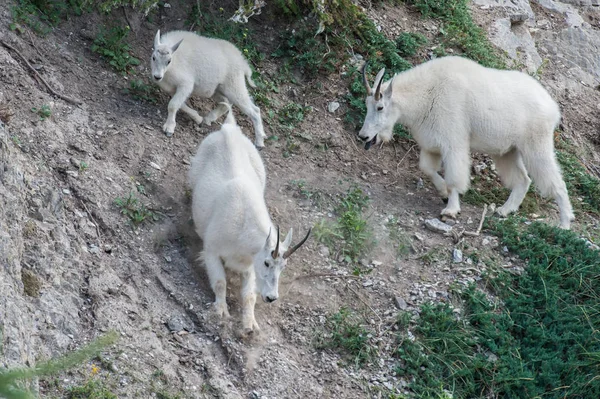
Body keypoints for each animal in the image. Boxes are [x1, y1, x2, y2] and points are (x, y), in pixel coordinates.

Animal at [190, 102, 312, 334]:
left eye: (283, 267)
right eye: (266, 262)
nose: (272, 297)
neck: (242, 233)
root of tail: (229, 129)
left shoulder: (248, 267)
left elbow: (248, 295)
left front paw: (250, 325)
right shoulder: (212, 251)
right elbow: (220, 282)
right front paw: (221, 311)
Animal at [358, 57, 576, 231]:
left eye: (380, 107)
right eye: (366, 105)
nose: (363, 136)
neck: (427, 92)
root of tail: (552, 107)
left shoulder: (453, 142)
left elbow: (455, 177)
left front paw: (450, 209)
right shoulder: (431, 144)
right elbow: (427, 169)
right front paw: (443, 192)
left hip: (536, 143)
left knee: (556, 182)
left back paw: (565, 224)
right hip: (507, 151)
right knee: (523, 180)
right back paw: (504, 210)